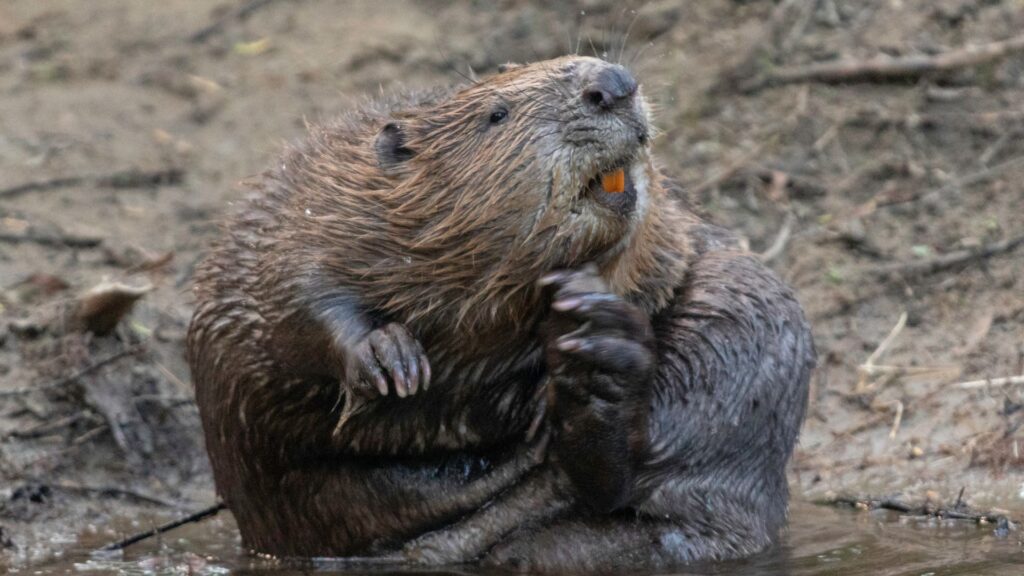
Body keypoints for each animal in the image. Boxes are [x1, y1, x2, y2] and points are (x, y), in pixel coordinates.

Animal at [188, 54, 815, 569]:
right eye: (497, 113)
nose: (612, 84)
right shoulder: (312, 202)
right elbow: (292, 292)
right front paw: (392, 361)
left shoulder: (670, 235)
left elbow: (649, 256)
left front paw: (578, 328)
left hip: (743, 304)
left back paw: (599, 369)